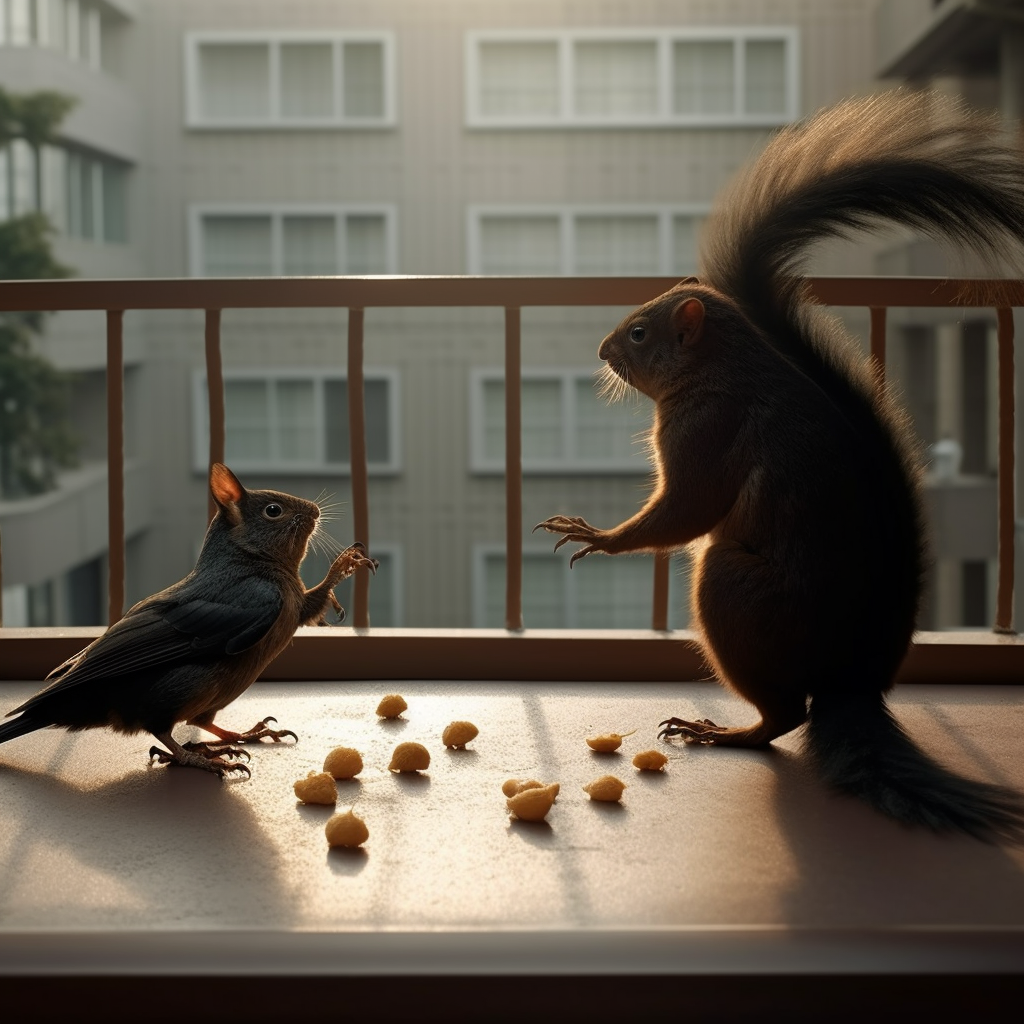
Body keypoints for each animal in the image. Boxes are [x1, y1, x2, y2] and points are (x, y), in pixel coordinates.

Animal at [0, 463, 377, 777]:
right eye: (274, 510)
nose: (315, 511)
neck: (250, 561)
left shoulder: (293, 606)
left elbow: (209, 723)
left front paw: (247, 733)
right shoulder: (261, 598)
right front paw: (343, 564)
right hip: (177, 688)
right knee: (162, 729)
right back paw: (194, 757)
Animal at [536, 89, 1024, 841]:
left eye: (641, 334)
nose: (602, 349)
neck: (724, 367)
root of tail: (851, 683)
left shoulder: (706, 432)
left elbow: (686, 510)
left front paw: (598, 536)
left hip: (732, 589)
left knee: (785, 716)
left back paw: (722, 733)